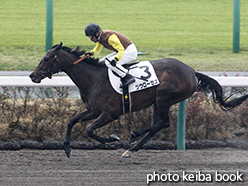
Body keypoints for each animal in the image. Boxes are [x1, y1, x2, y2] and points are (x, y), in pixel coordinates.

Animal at [29, 42, 248, 158]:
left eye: (46, 59)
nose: (32, 76)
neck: (94, 79)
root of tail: (191, 71)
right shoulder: (92, 110)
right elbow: (71, 121)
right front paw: (66, 148)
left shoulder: (110, 113)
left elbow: (89, 130)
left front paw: (112, 138)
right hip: (157, 102)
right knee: (157, 125)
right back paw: (132, 149)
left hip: (163, 97)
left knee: (163, 123)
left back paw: (133, 136)